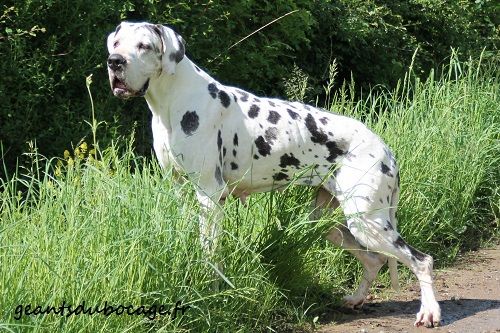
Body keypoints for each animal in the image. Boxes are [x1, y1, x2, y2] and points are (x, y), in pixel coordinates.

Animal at [106, 21, 442, 326]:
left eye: (144, 46)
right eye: (117, 43)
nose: (115, 62)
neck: (175, 100)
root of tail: (385, 148)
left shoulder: (209, 196)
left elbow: (210, 252)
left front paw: (210, 290)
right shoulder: (178, 189)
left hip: (367, 221)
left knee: (420, 260)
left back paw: (429, 312)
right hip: (332, 223)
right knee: (375, 260)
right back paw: (357, 299)